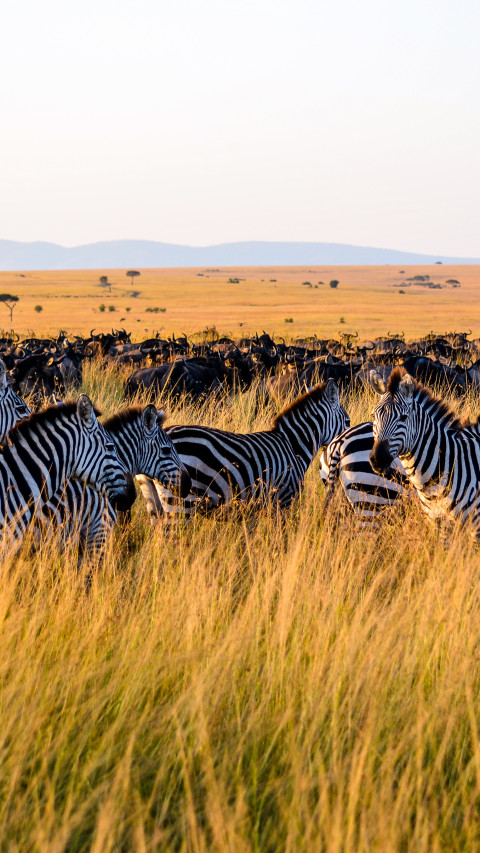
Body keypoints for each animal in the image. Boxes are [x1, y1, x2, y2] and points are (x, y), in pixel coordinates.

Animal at [136, 380, 350, 522]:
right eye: (347, 421)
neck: (293, 445)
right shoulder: (283, 499)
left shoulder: (260, 506)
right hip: (181, 501)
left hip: (154, 502)